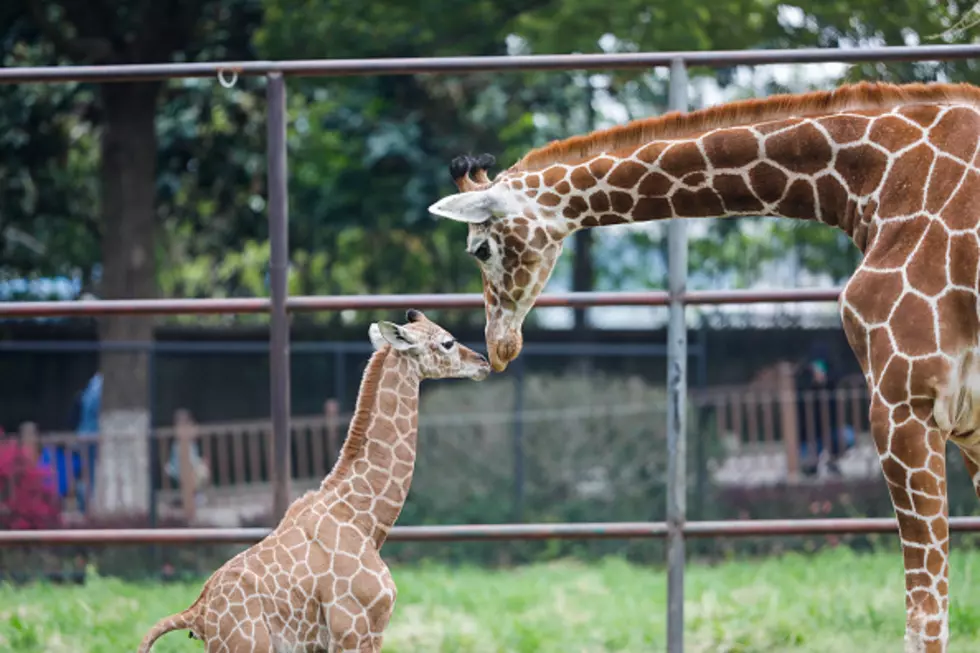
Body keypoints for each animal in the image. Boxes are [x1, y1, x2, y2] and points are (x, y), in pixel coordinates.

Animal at [138, 310, 490, 652]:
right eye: (447, 342)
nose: (483, 362)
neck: (364, 520)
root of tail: (198, 613)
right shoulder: (353, 629)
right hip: (249, 646)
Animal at [428, 81, 980, 652]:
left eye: (480, 248)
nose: (499, 346)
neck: (877, 179)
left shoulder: (903, 402)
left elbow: (924, 618)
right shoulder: (963, 424)